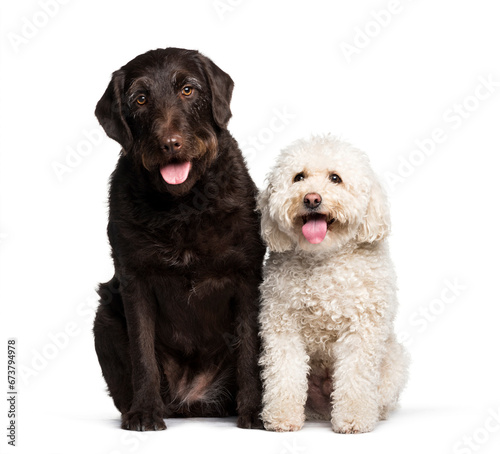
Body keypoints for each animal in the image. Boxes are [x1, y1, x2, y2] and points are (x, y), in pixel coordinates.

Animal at [258, 136, 410, 432]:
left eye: (335, 178)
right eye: (299, 177)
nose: (311, 198)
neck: (323, 258)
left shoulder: (362, 328)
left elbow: (355, 375)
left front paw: (353, 418)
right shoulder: (282, 324)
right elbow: (284, 372)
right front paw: (282, 416)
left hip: (394, 361)